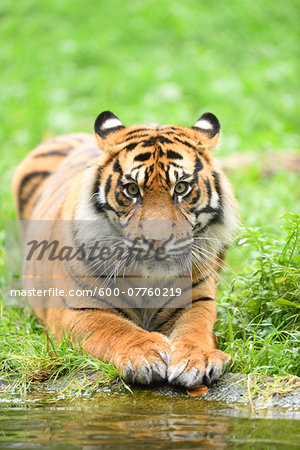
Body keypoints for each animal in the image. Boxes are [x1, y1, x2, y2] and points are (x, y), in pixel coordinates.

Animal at [12, 111, 239, 386]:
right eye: (132, 190)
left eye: (181, 188)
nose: (157, 240)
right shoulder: (78, 308)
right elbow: (114, 329)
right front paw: (145, 353)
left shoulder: (197, 300)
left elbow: (195, 330)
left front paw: (198, 358)